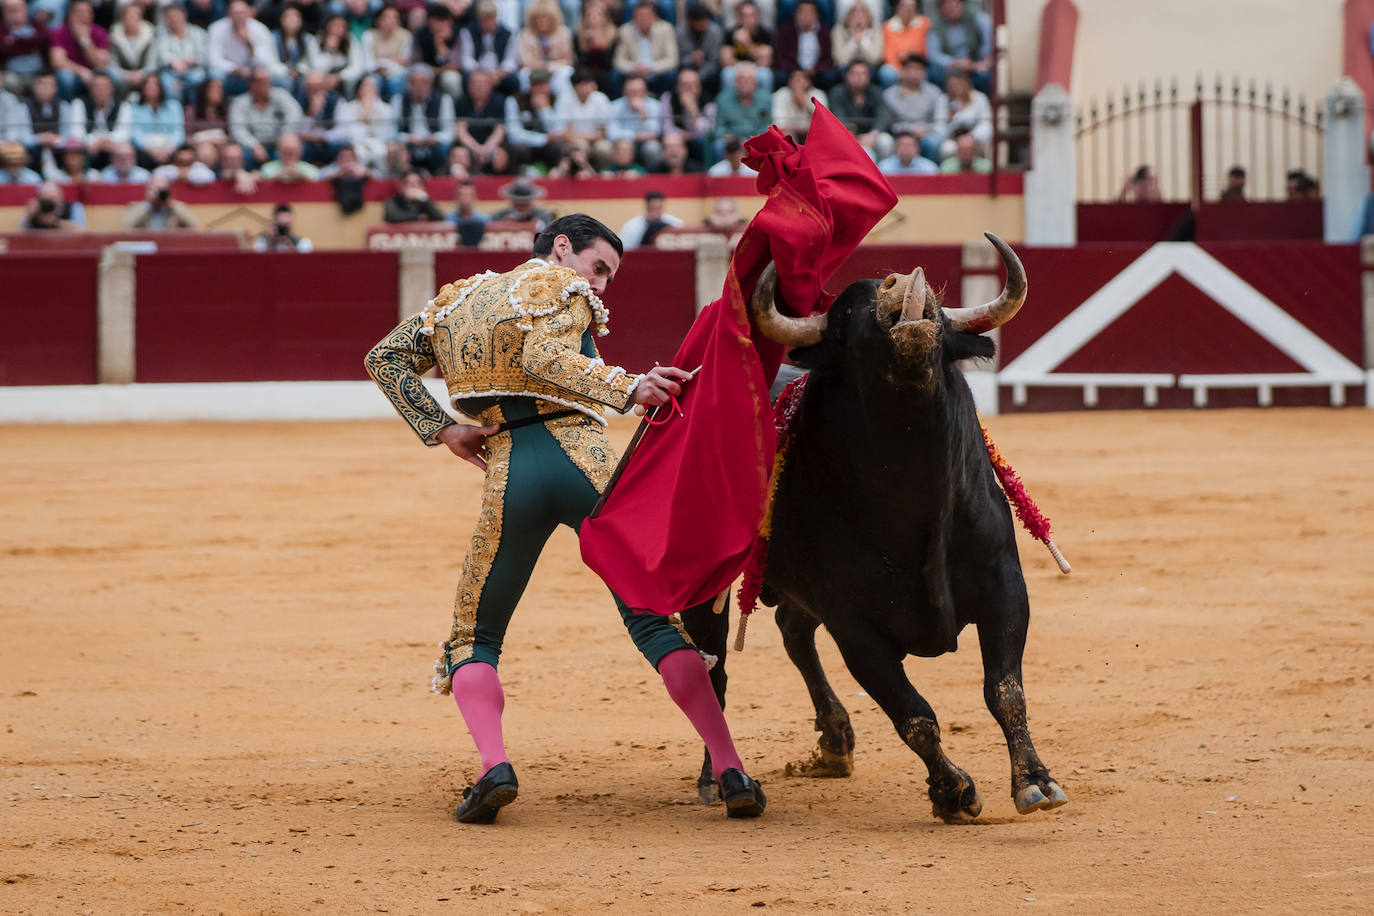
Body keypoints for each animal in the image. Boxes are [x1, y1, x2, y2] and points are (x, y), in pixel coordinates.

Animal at [681, 236, 1066, 823]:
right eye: (846, 315)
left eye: (939, 311)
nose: (902, 283)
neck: (914, 497)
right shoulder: (854, 624)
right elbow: (913, 715)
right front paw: (953, 792)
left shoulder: (1004, 586)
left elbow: (1005, 690)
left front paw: (1036, 782)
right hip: (704, 585)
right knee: (712, 668)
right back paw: (722, 782)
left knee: (793, 633)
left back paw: (835, 744)